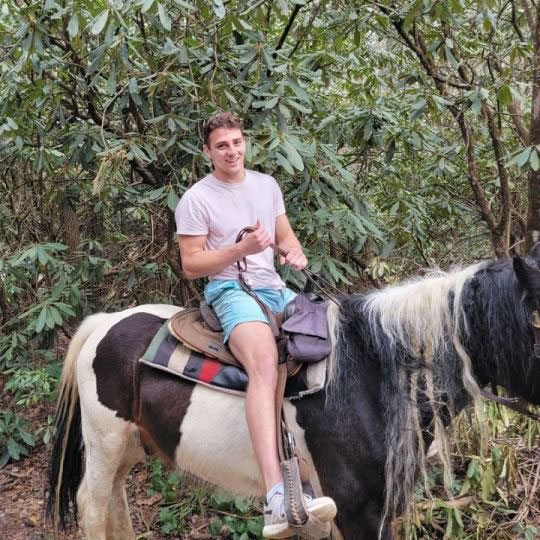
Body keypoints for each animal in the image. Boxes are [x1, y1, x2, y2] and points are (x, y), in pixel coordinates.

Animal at [46, 247, 540, 536]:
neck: (372, 373)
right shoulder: (357, 509)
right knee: (93, 504)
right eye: (535, 319)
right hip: (105, 440)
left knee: (115, 502)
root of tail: (103, 323)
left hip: (130, 445)